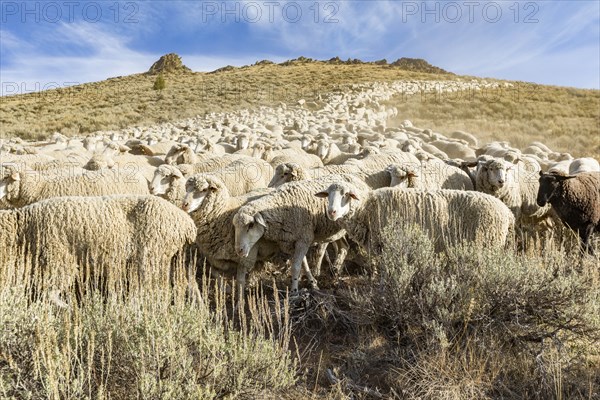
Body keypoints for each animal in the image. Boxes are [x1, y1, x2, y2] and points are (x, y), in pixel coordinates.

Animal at [314, 182, 516, 253]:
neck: (366, 208)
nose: (331, 212)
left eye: (346, 195)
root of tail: (508, 212)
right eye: (327, 195)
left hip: (489, 243)